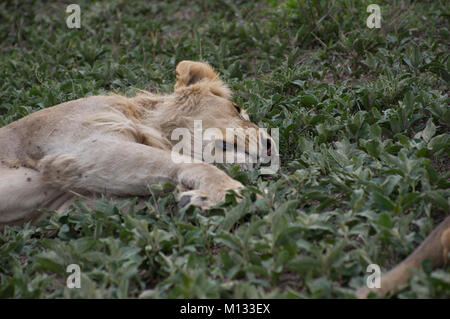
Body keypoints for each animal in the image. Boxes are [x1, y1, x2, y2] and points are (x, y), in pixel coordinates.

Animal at [0, 60, 274, 230]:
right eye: (237, 109)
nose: (271, 145)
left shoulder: (72, 202)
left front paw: (195, 199)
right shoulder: (81, 147)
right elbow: (196, 165)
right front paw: (240, 194)